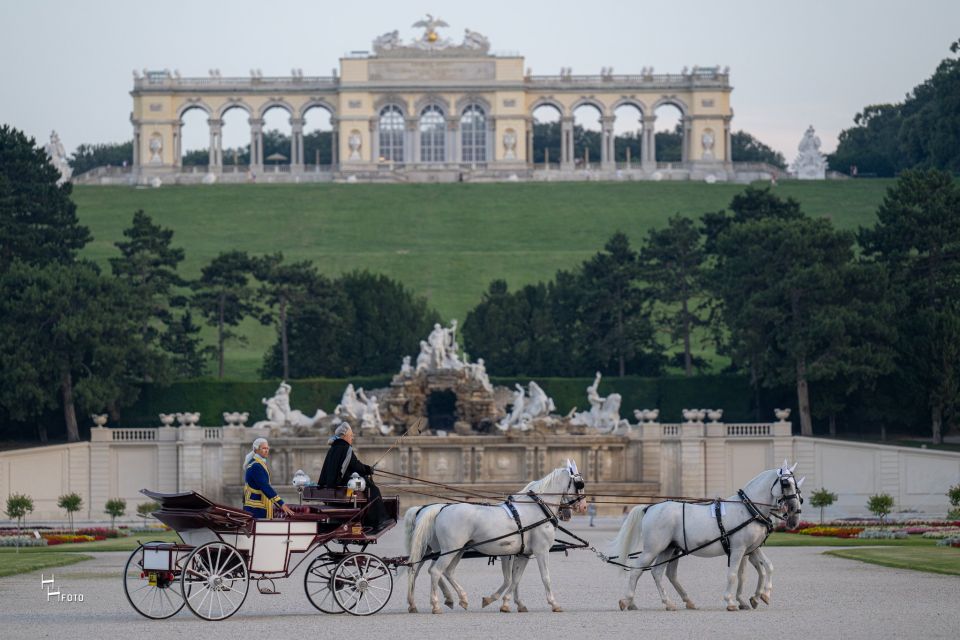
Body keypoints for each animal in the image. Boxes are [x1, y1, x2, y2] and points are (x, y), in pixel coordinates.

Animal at [410, 462, 588, 612]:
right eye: (580, 484)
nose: (584, 506)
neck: (538, 508)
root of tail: (442, 509)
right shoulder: (541, 551)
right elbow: (545, 577)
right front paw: (554, 603)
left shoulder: (523, 553)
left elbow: (515, 579)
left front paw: (505, 602)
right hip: (450, 550)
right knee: (435, 571)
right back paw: (436, 605)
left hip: (457, 550)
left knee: (446, 571)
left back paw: (460, 599)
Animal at [616, 460, 804, 608]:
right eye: (786, 484)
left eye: (797, 485)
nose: (795, 513)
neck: (749, 508)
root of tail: (651, 507)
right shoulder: (739, 549)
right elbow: (733, 574)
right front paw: (730, 601)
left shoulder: (752, 548)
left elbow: (765, 568)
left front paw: (761, 596)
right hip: (653, 549)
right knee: (636, 570)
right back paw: (628, 601)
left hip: (668, 549)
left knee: (658, 573)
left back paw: (670, 602)